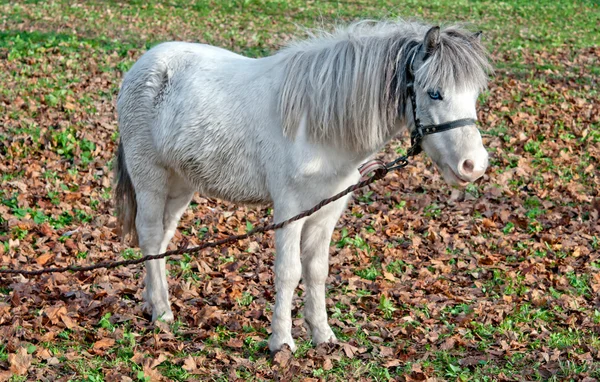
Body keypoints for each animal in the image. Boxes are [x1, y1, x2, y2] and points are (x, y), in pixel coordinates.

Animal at [113, 19, 492, 350]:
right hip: (151, 178)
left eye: (474, 94)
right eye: (435, 93)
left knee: (162, 240)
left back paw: (153, 302)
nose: (473, 166)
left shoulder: (327, 210)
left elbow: (317, 271)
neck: (318, 124)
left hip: (181, 184)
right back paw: (162, 312)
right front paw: (281, 341)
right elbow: (288, 271)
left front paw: (322, 334)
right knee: (150, 235)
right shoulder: (290, 211)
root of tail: (146, 64)